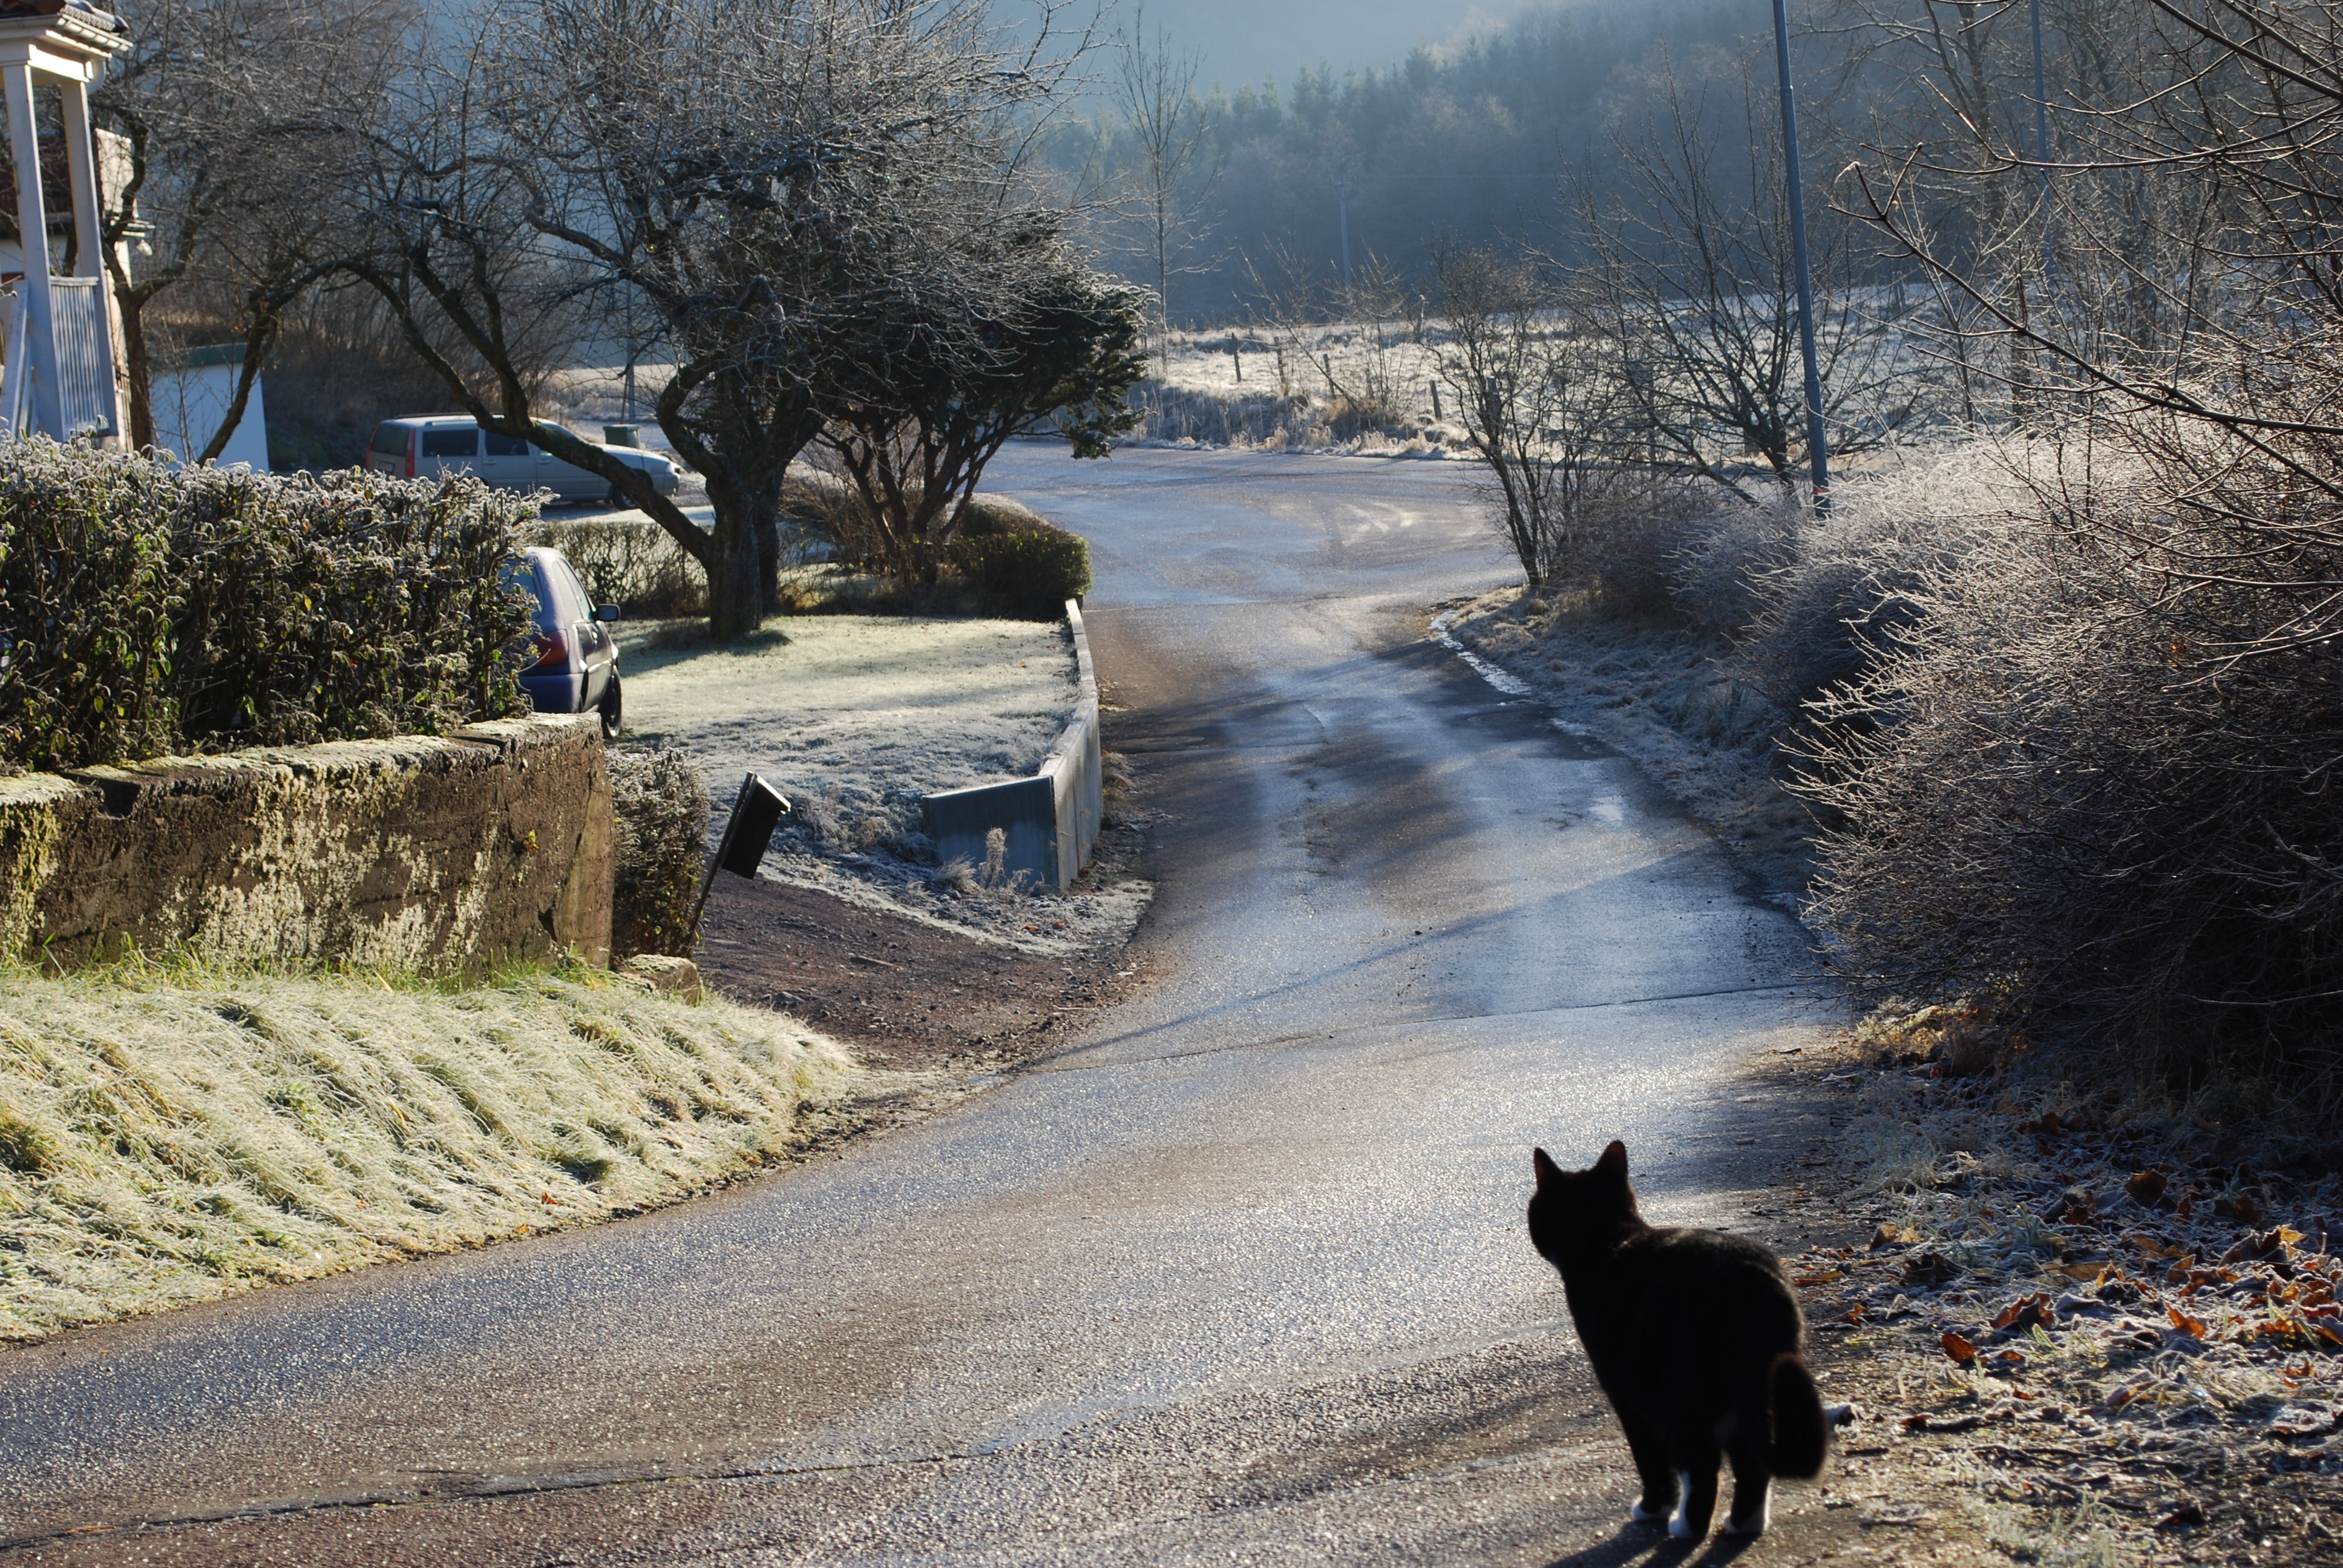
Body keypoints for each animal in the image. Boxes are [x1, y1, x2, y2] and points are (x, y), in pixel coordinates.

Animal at [1527, 1141, 1829, 1539]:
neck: (1607, 1239)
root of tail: (1746, 1277)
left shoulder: (1624, 1391)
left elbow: (1650, 1457)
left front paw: (1653, 1508)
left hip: (1681, 1391)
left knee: (1702, 1464)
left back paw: (1686, 1527)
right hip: (1751, 1385)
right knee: (1750, 1460)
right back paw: (1743, 1524)